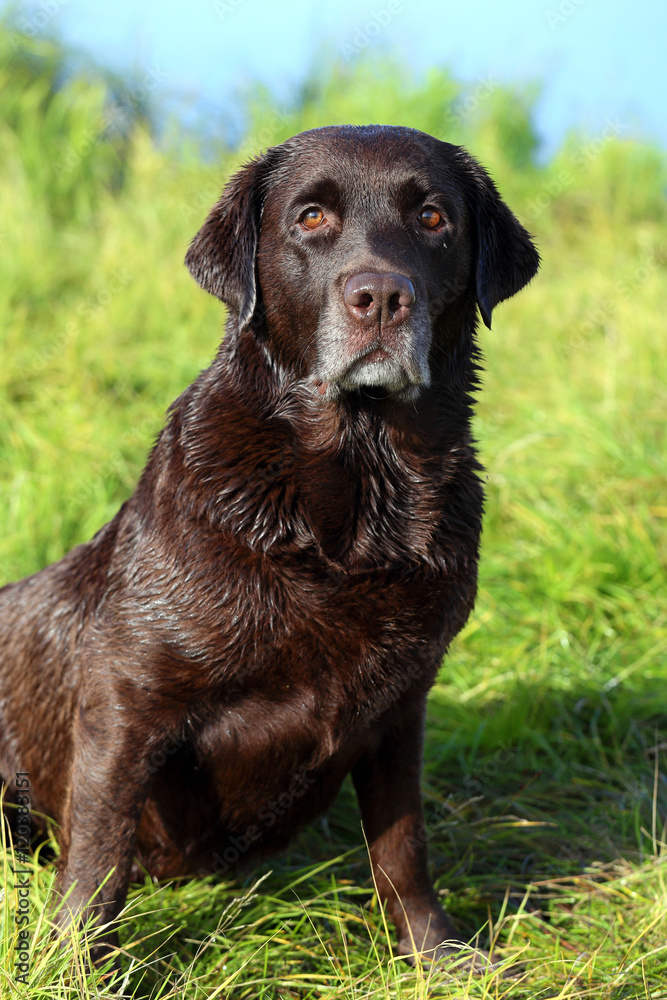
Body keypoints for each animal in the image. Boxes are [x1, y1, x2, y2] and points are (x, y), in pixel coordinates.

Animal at [0, 127, 540, 968]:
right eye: (310, 217)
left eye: (432, 218)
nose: (380, 296)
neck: (358, 491)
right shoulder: (126, 701)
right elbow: (97, 857)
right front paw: (75, 969)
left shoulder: (401, 707)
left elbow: (402, 847)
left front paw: (435, 955)